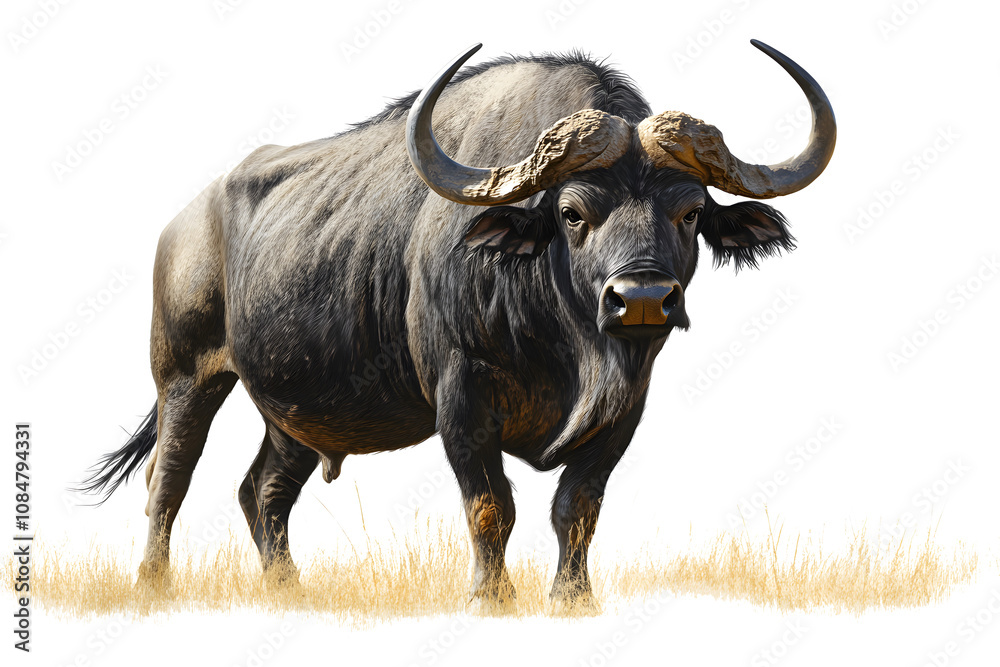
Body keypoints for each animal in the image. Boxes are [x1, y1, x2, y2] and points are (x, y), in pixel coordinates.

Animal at [82, 40, 835, 610]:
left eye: (690, 212)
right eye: (572, 213)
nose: (642, 298)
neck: (564, 339)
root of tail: (184, 221)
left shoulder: (624, 410)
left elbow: (578, 507)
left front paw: (573, 599)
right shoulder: (461, 399)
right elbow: (490, 504)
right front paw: (489, 599)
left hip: (294, 410)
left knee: (261, 489)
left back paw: (287, 589)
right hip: (186, 376)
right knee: (167, 481)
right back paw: (152, 585)